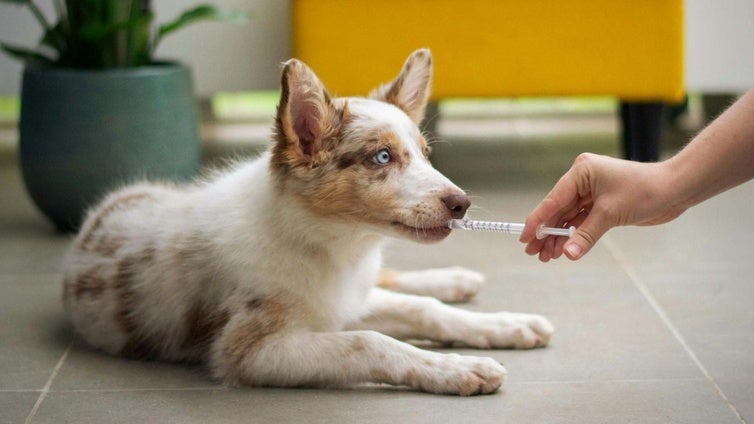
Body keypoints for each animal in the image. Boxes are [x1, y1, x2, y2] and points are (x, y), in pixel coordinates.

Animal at [61, 49, 552, 398]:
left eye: (425, 154)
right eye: (382, 157)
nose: (461, 205)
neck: (328, 244)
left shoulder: (344, 298)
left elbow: (422, 310)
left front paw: (505, 326)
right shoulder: (250, 351)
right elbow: (369, 341)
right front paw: (460, 368)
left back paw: (456, 280)